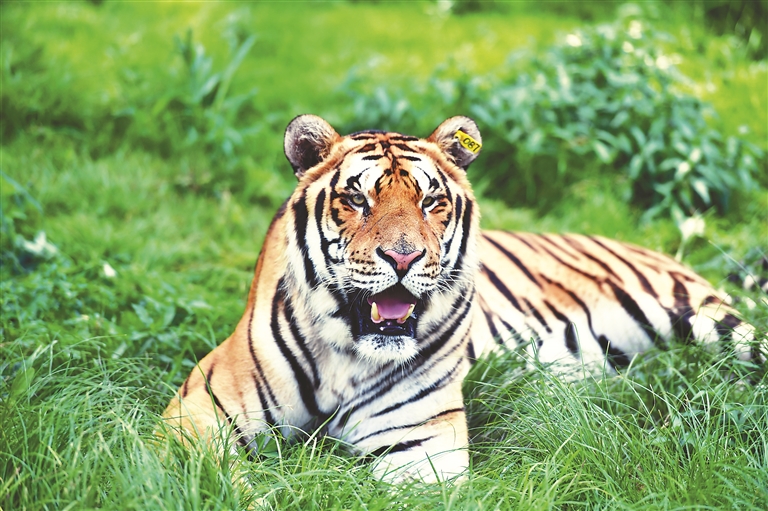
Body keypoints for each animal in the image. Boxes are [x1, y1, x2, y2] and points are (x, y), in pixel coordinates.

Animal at [162, 114, 760, 482]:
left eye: (430, 202)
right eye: (356, 199)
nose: (402, 259)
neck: (347, 354)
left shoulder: (422, 441)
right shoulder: (199, 411)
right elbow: (223, 481)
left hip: (714, 322)